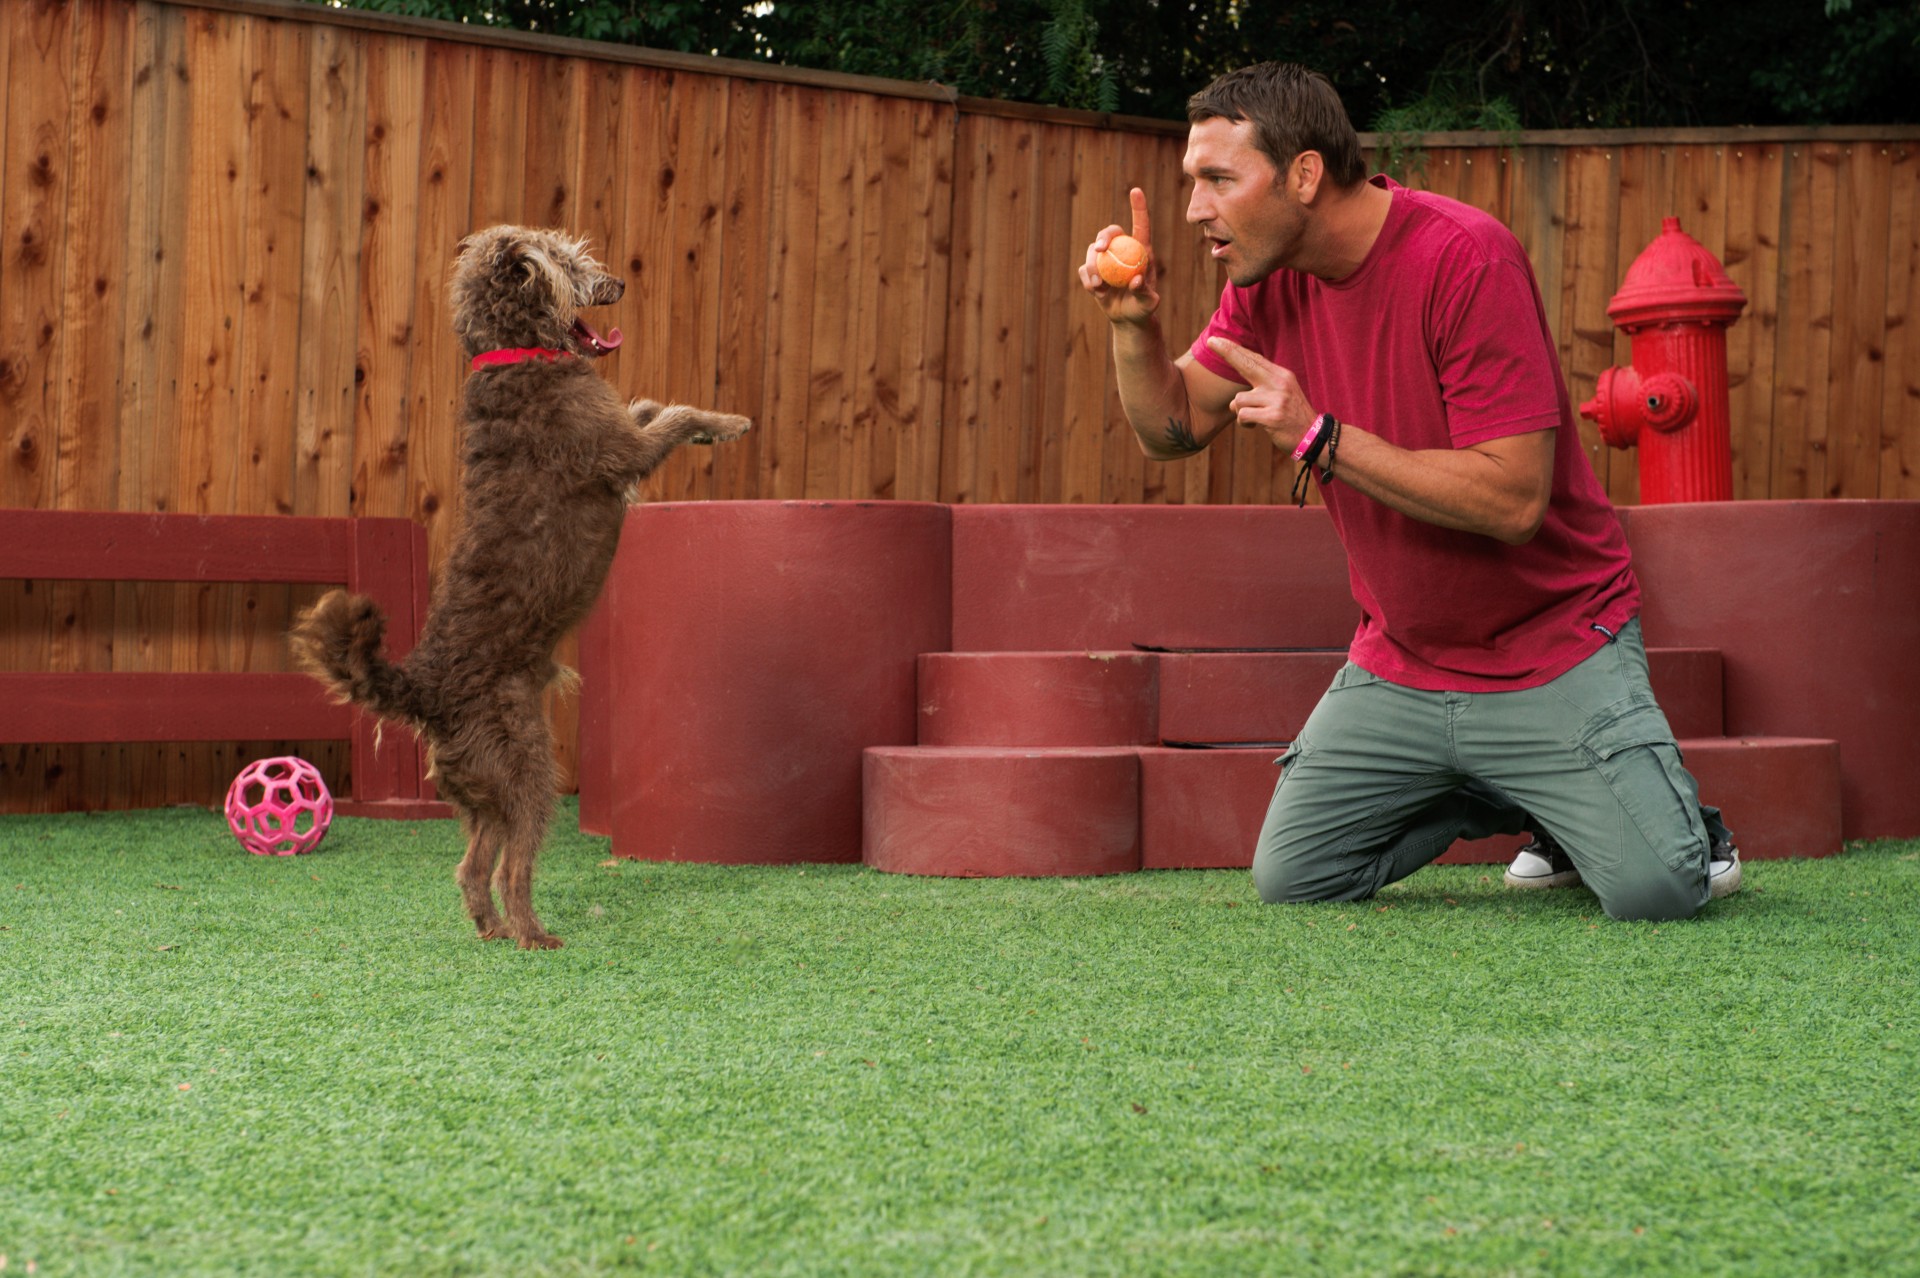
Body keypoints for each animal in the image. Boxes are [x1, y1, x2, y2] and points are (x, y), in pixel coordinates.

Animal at [284, 226, 748, 944]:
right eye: (572, 262)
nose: (619, 282)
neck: (515, 352)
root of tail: (424, 687)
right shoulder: (622, 453)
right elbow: (671, 417)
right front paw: (724, 423)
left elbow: (646, 407)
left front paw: (672, 411)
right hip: (528, 768)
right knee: (510, 870)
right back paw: (534, 935)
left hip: (485, 790)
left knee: (473, 868)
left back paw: (495, 932)